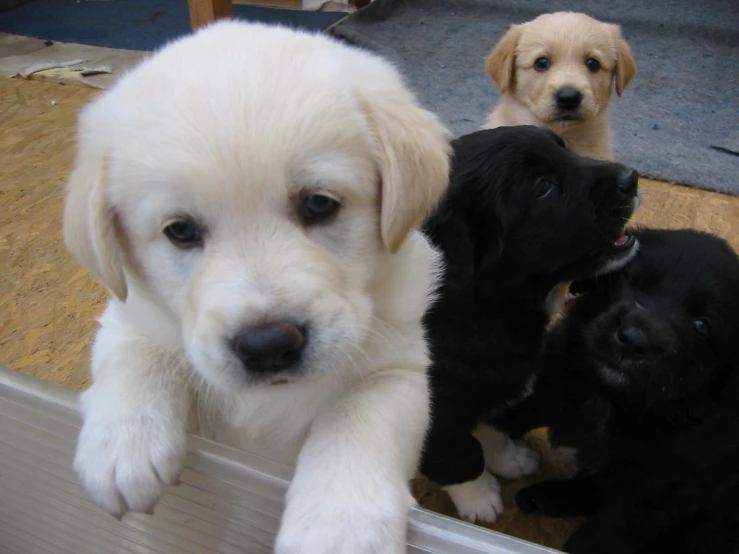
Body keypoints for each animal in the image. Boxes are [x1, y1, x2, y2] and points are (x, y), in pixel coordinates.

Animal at [65, 20, 450, 552]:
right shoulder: (130, 313)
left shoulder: (401, 370)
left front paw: (338, 526)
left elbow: (358, 416)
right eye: (180, 230)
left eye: (319, 204)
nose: (268, 346)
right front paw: (124, 445)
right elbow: (137, 351)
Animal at [422, 126, 640, 520]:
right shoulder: (434, 413)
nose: (631, 179)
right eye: (543, 187)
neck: (491, 310)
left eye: (565, 148)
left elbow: (492, 422)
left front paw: (509, 459)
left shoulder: (498, 382)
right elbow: (458, 455)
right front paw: (480, 499)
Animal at [512, 226, 739, 548]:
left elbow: (599, 536)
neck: (612, 396)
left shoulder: (651, 499)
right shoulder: (554, 382)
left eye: (702, 325)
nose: (633, 339)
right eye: (635, 281)